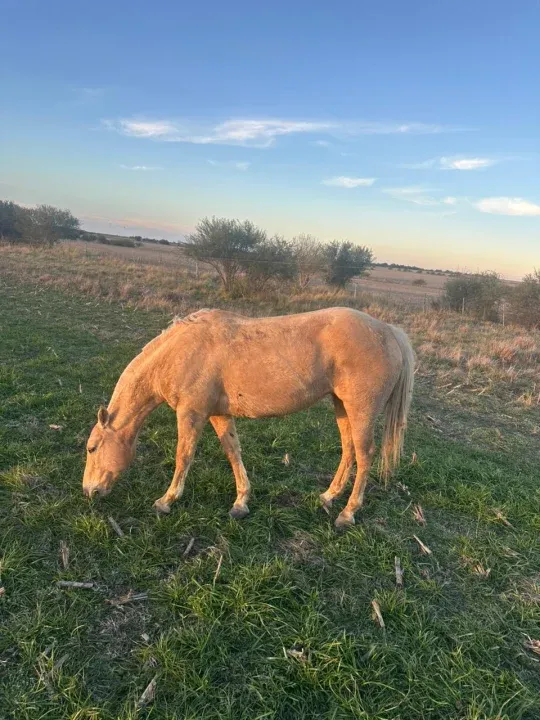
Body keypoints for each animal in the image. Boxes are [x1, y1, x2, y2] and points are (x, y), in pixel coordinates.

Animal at [82, 307, 414, 528]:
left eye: (92, 448)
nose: (89, 491)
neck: (179, 352)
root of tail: (388, 331)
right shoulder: (218, 414)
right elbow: (233, 452)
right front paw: (241, 502)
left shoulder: (192, 413)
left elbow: (183, 457)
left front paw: (166, 501)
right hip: (342, 407)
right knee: (348, 451)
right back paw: (328, 497)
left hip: (361, 410)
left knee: (365, 455)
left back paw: (348, 513)